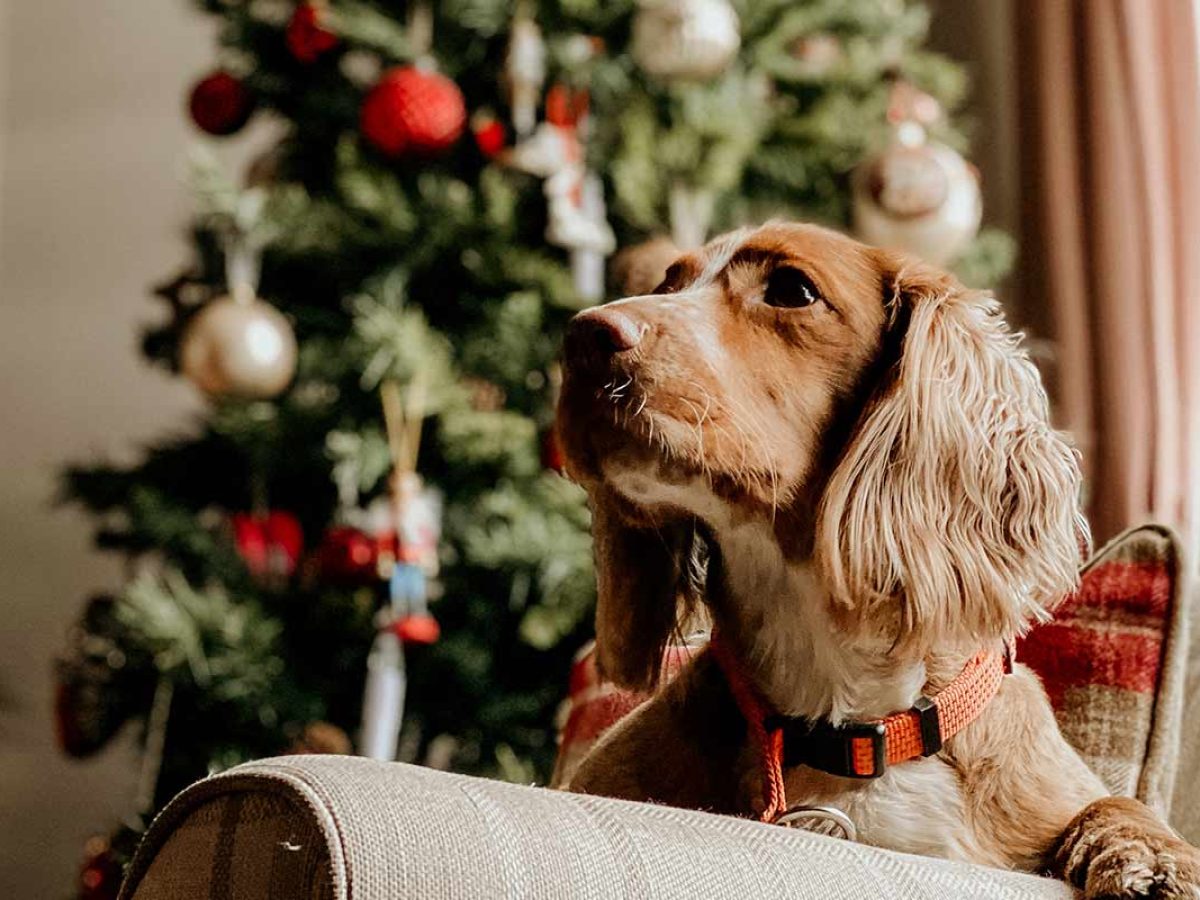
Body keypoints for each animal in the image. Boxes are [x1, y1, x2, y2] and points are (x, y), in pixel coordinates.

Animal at [554, 224, 1200, 900]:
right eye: (667, 285)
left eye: (792, 289)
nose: (583, 336)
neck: (851, 726)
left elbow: (1115, 804)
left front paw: (1154, 855)